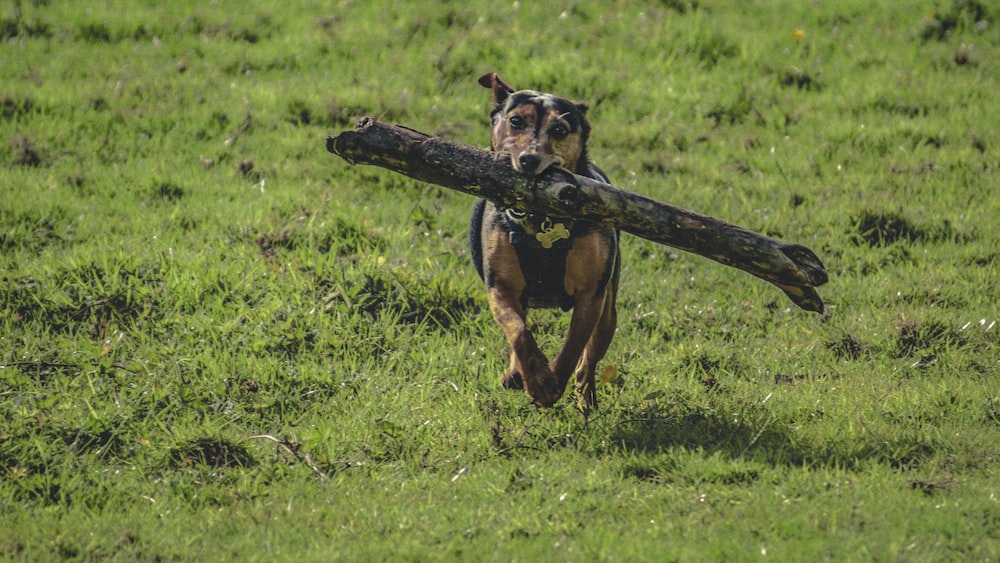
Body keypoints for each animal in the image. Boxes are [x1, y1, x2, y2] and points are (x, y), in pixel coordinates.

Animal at [468, 74, 616, 410]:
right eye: (515, 121)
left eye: (560, 129)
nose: (529, 160)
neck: (540, 222)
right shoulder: (500, 288)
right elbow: (519, 332)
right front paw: (534, 379)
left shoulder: (591, 296)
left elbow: (574, 345)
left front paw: (551, 385)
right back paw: (516, 374)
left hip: (608, 311)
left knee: (591, 355)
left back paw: (585, 397)